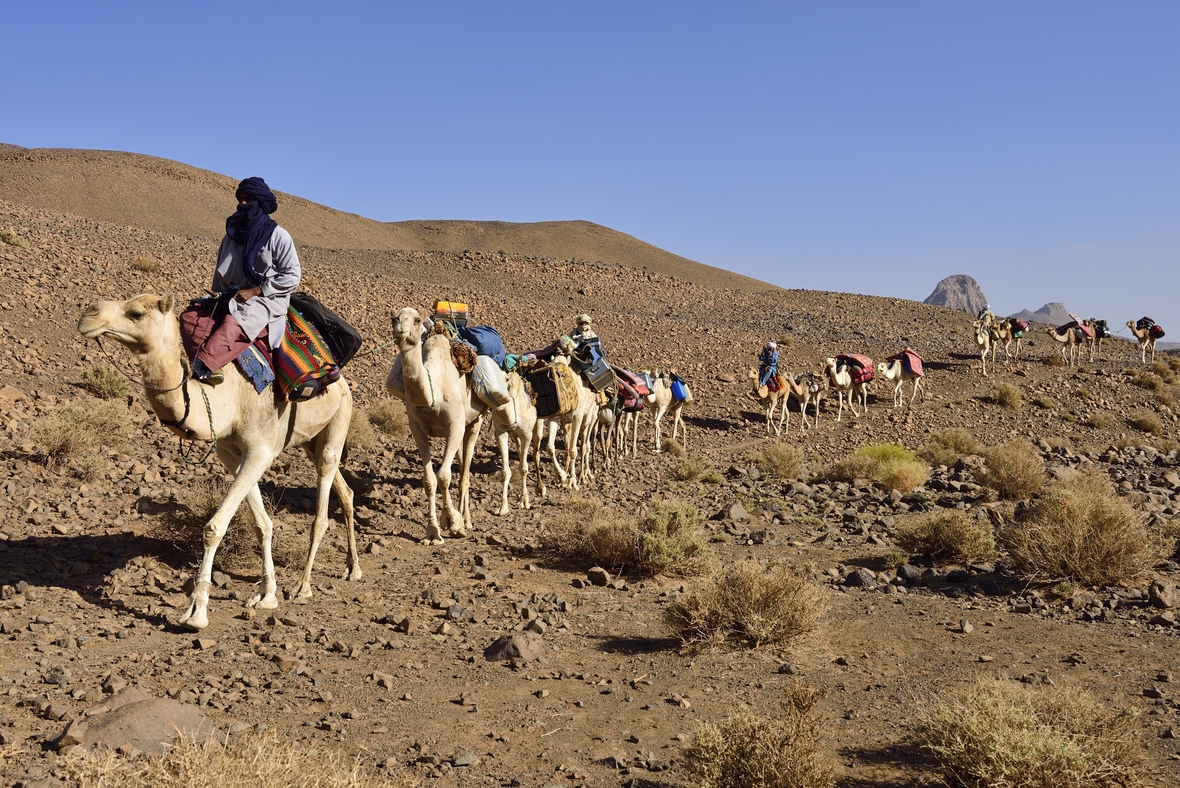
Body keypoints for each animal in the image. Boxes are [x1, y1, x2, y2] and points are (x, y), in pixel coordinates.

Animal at [78, 292, 356, 632]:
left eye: (137, 313)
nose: (88, 315)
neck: (227, 398)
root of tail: (340, 380)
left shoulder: (260, 450)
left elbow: (214, 527)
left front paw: (196, 613)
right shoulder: (230, 453)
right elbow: (262, 524)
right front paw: (266, 596)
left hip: (340, 415)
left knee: (322, 501)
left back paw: (303, 587)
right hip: (309, 440)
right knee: (344, 490)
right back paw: (353, 569)